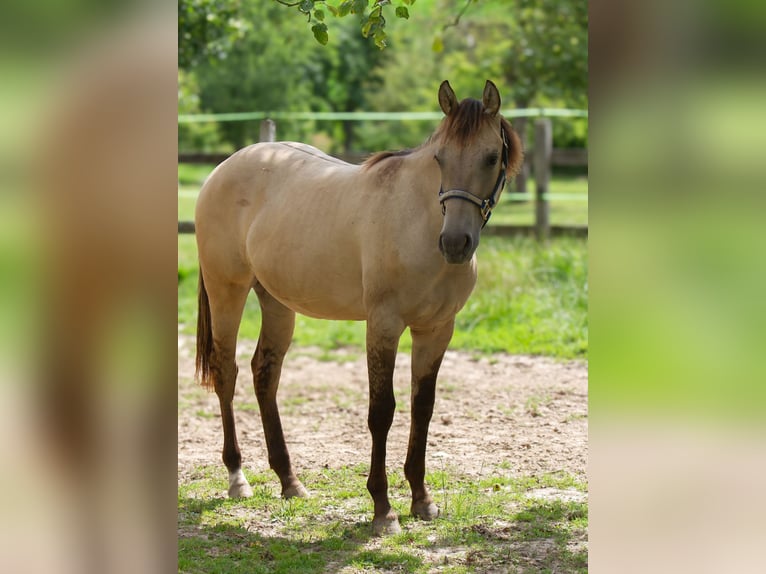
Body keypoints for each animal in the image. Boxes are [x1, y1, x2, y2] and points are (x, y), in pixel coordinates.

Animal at [195, 80, 524, 536]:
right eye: (440, 157)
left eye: (491, 157)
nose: (455, 243)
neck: (420, 221)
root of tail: (221, 170)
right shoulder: (383, 325)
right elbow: (381, 411)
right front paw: (383, 509)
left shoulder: (437, 329)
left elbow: (423, 407)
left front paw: (422, 500)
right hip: (227, 290)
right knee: (226, 373)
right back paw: (237, 478)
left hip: (277, 302)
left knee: (265, 374)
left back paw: (289, 481)